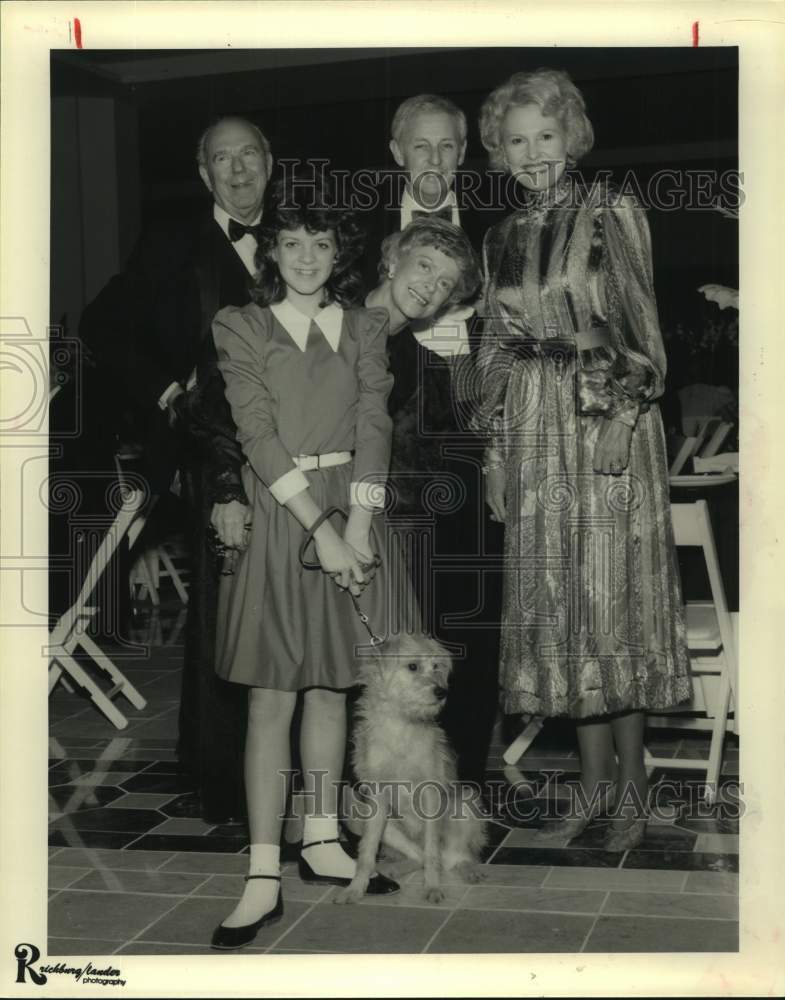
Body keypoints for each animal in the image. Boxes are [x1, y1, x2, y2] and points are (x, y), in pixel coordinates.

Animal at [336, 640, 486, 908]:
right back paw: (393, 869)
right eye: (413, 666)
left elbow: (431, 849)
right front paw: (355, 888)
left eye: (436, 667)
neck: (400, 725)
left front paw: (433, 887)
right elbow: (366, 852)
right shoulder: (377, 798)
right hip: (371, 822)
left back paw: (469, 869)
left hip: (465, 805)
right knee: (419, 856)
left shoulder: (430, 795)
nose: (441, 692)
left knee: (452, 856)